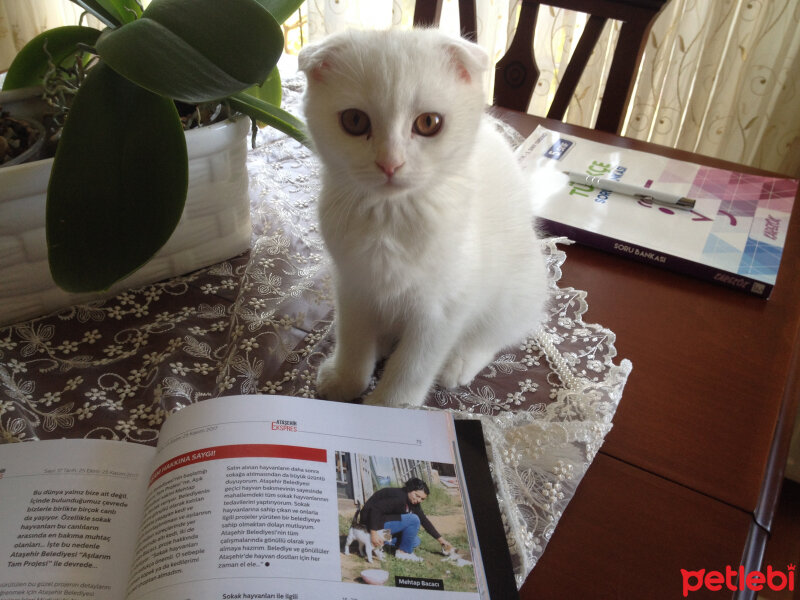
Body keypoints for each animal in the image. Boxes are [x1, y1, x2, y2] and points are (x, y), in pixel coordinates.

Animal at [298, 25, 552, 406]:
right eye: (354, 121)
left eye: (428, 123)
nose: (390, 163)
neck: (391, 217)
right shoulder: (352, 284)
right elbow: (354, 338)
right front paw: (346, 379)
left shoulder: (441, 310)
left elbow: (413, 365)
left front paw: (388, 406)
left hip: (514, 291)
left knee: (495, 333)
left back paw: (459, 362)